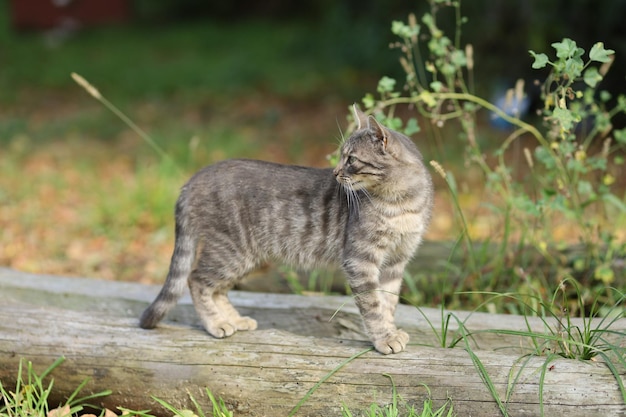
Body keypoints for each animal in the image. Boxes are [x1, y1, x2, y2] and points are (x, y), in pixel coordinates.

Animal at [140, 105, 434, 352]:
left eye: (351, 159)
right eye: (341, 156)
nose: (335, 173)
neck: (401, 203)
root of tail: (194, 178)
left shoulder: (396, 261)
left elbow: (388, 303)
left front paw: (391, 330)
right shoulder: (360, 259)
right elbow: (372, 305)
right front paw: (384, 338)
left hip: (245, 257)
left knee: (218, 289)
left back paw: (235, 319)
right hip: (231, 250)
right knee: (196, 280)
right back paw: (216, 324)